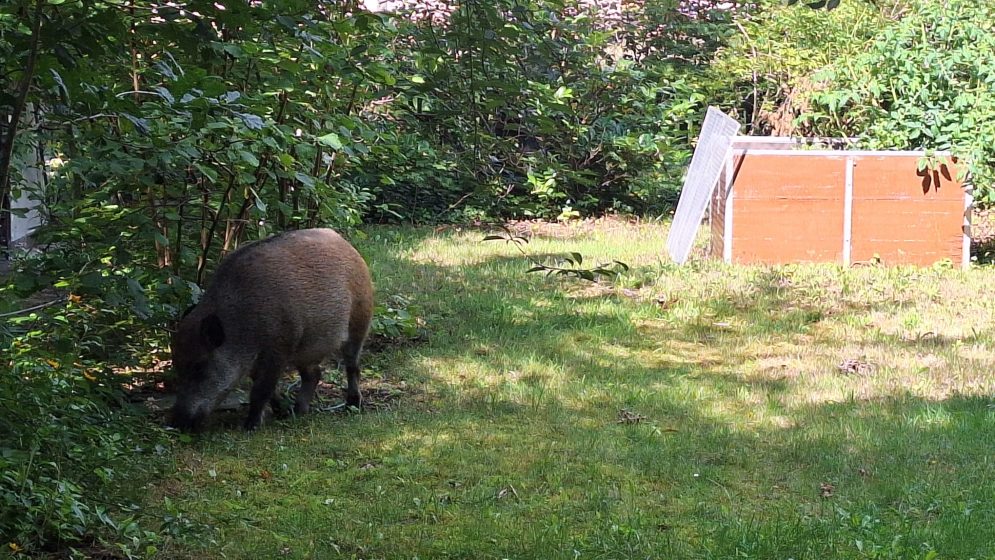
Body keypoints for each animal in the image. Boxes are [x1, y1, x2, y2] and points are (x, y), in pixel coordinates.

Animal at [169, 228, 373, 432]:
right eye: (178, 367)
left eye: (199, 366)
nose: (177, 422)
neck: (242, 326)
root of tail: (345, 244)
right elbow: (268, 389)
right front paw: (281, 413)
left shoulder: (278, 349)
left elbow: (261, 390)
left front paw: (250, 427)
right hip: (305, 349)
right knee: (314, 374)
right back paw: (298, 411)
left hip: (359, 321)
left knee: (352, 366)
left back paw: (353, 405)